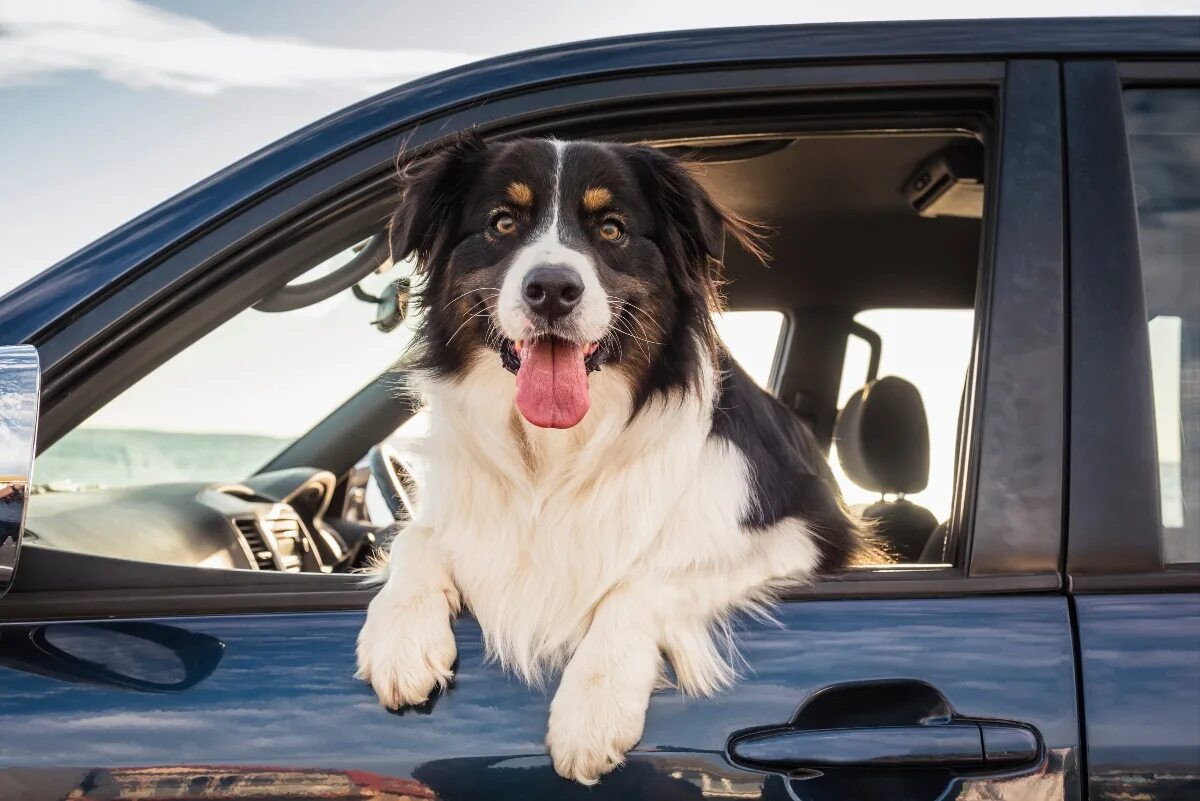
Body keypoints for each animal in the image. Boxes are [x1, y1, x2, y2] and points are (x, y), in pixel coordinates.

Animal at [350, 136, 868, 781]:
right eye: (502, 222)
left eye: (611, 228)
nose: (551, 289)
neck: (555, 453)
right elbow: (418, 537)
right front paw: (400, 639)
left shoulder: (801, 535)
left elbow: (644, 580)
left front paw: (591, 708)